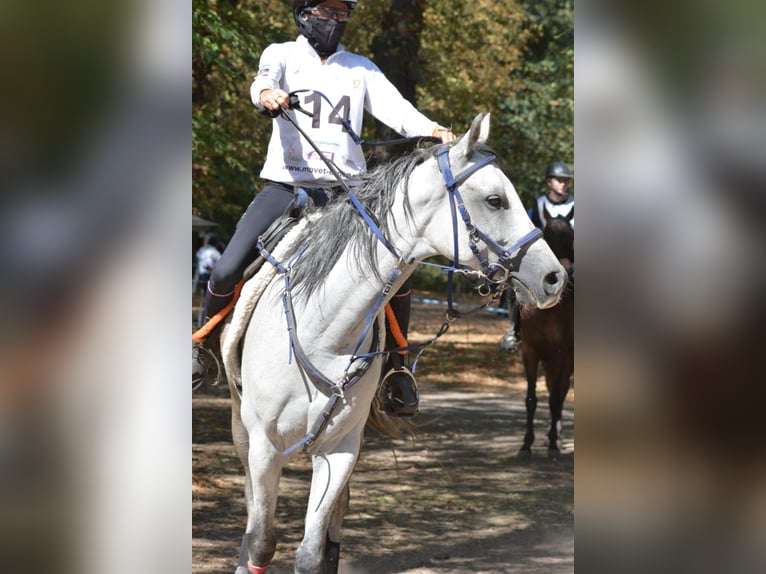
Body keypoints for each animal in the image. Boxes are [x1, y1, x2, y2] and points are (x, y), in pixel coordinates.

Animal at [220, 113, 567, 574]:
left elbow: (312, 552)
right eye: (495, 200)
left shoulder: (341, 448)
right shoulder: (263, 446)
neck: (322, 331)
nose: (555, 277)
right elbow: (260, 541)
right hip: (242, 428)